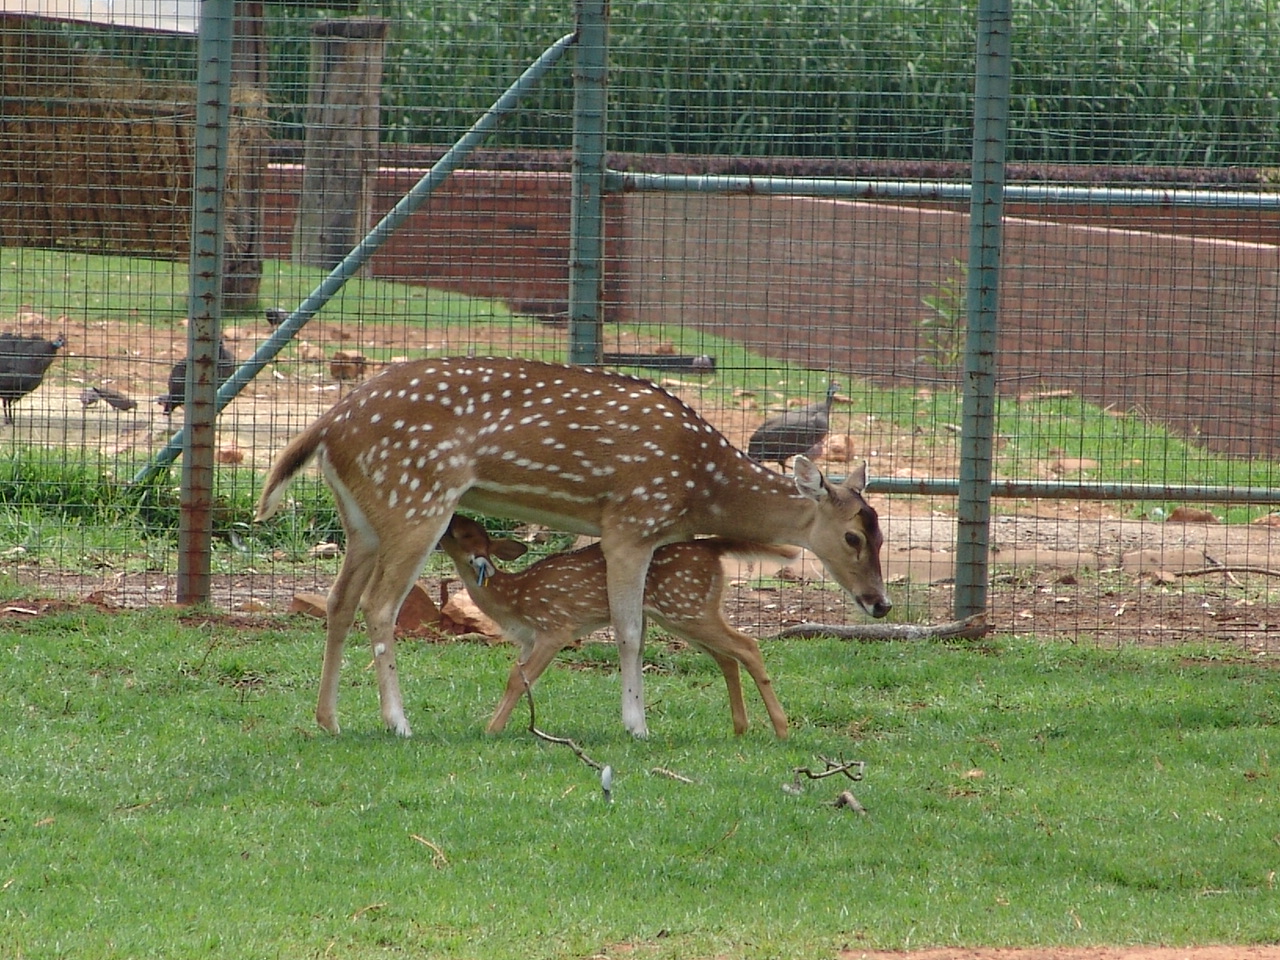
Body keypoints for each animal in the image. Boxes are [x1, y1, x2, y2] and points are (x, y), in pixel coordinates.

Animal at [440, 513, 796, 737]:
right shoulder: (528, 639)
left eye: (466, 533)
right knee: (727, 658)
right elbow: (514, 677)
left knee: (747, 646)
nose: (449, 521)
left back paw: (781, 729)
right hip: (685, 611)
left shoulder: (555, 625)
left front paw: (492, 729)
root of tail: (711, 546)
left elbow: (519, 679)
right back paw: (740, 728)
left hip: (687, 607)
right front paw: (493, 724)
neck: (513, 599)